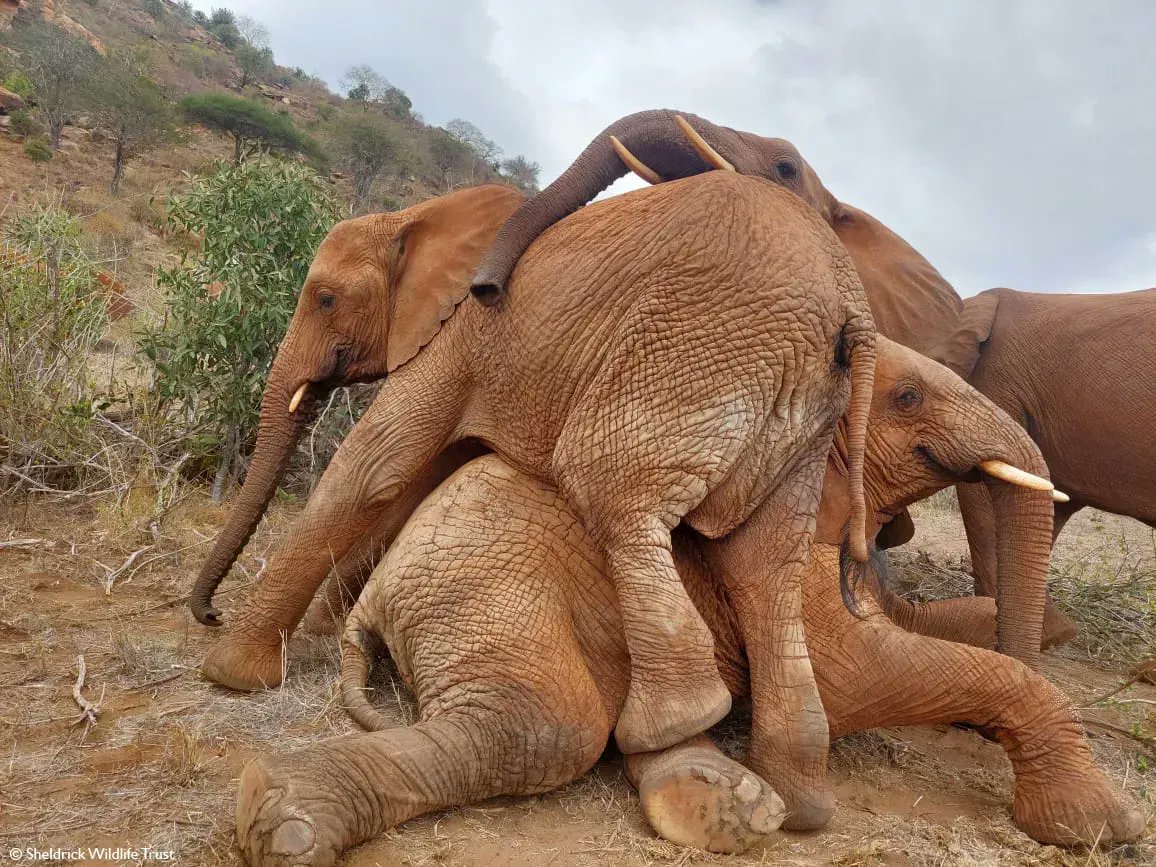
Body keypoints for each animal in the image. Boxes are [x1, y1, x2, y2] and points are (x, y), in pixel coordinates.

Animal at [196, 171, 886, 823]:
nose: (208, 615)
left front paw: (232, 673)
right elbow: (415, 475)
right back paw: (797, 802)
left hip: (702, 337)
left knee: (606, 483)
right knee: (762, 565)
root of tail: (852, 308)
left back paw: (674, 727)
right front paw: (317, 629)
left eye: (325, 298)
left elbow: (375, 468)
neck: (421, 217)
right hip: (798, 404)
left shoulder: (461, 332)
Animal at [234, 337, 1142, 867]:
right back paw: (279, 821)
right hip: (484, 590)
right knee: (542, 725)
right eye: (908, 397)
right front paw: (1101, 824)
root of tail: (375, 596)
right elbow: (860, 679)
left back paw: (723, 805)